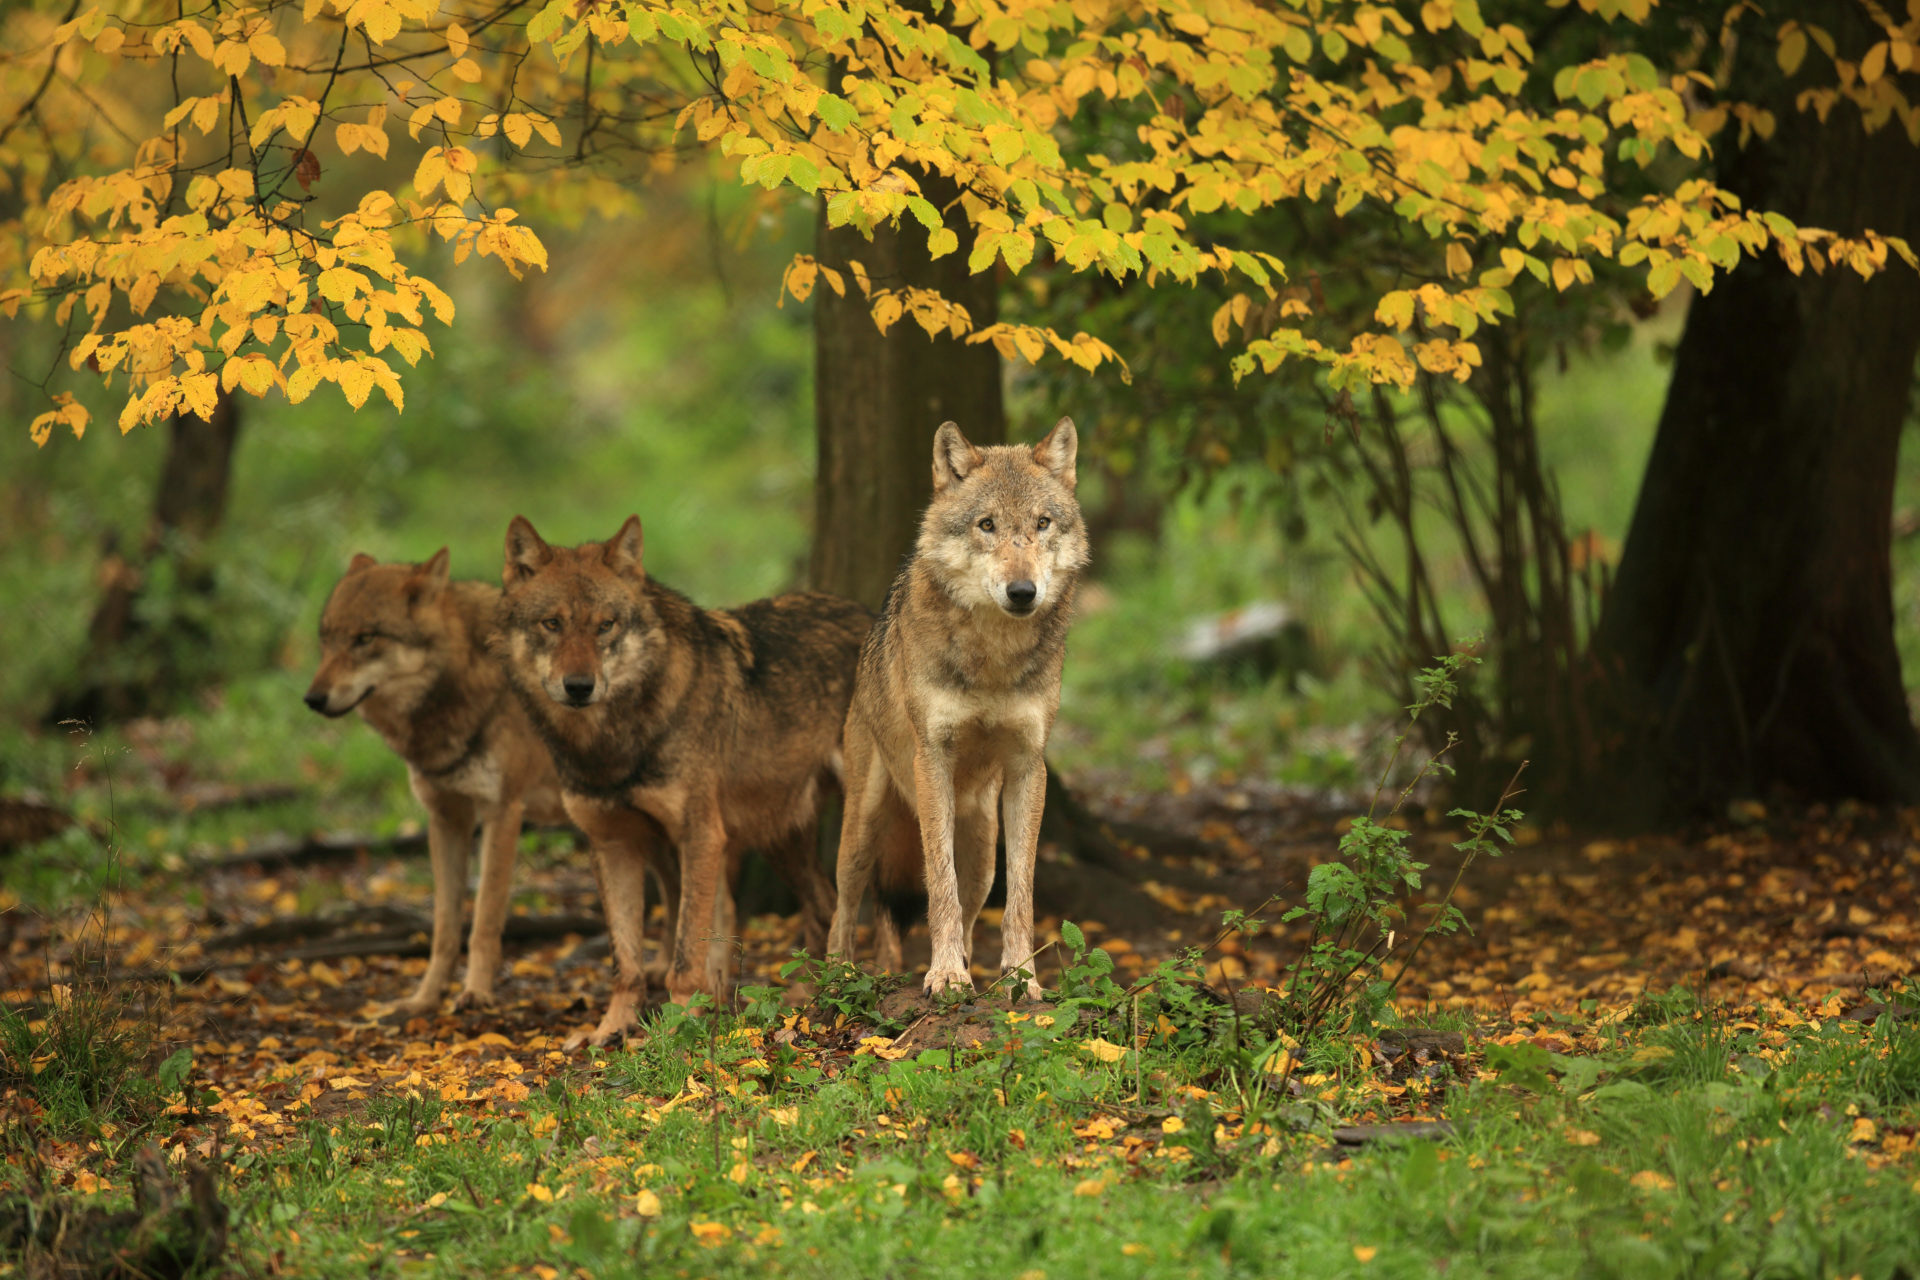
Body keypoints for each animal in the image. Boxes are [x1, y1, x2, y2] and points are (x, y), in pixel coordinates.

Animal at [304, 549, 568, 1016]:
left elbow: (483, 921)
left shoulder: (503, 813)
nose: (313, 699)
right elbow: (445, 926)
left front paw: (476, 994)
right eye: (328, 639)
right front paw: (424, 999)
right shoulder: (446, 820)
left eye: (365, 639)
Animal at [495, 514, 869, 1046]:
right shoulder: (611, 845)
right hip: (780, 836)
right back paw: (805, 1001)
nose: (580, 687)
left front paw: (672, 1032)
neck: (612, 746)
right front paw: (610, 1030)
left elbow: (684, 957)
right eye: (552, 623)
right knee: (824, 909)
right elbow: (626, 963)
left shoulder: (700, 837)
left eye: (605, 625)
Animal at [826, 418, 1088, 998]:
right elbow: (937, 887)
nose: (1022, 591)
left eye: (1041, 523)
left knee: (968, 907)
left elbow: (1021, 895)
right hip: (863, 824)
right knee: (846, 902)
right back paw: (838, 976)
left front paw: (1020, 980)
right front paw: (944, 975)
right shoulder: (933, 761)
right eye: (987, 525)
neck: (993, 659)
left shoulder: (1027, 766)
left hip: (983, 848)